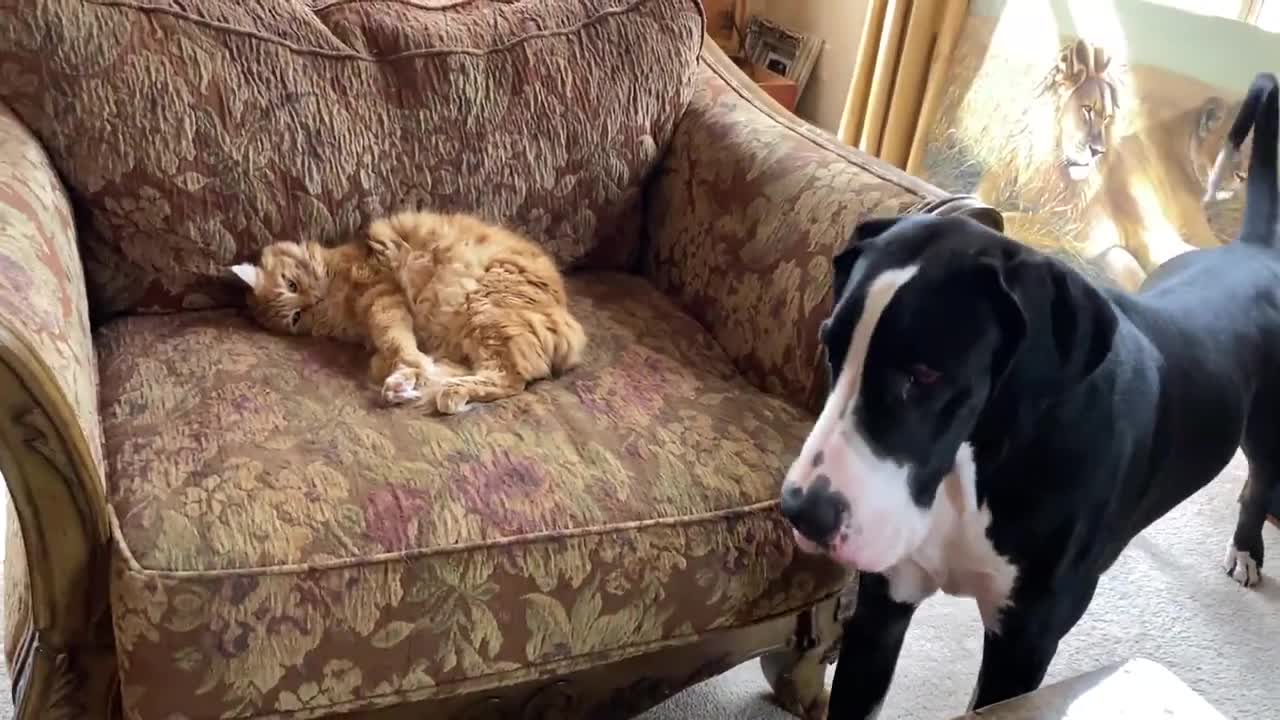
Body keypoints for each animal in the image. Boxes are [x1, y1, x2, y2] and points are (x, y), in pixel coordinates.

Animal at [227, 208, 586, 409]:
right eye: (295, 316)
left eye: (291, 285)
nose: (311, 300)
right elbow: (394, 353)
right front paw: (401, 376)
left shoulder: (382, 295)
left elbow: (399, 342)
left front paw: (408, 370)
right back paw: (409, 387)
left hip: (485, 312)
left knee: (509, 379)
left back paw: (446, 393)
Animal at [778, 73, 1280, 712]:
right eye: (831, 348)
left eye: (926, 375)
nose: (802, 511)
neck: (977, 468)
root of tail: (1255, 248)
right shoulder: (883, 609)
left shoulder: (1024, 644)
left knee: (1261, 478)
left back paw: (1246, 548)